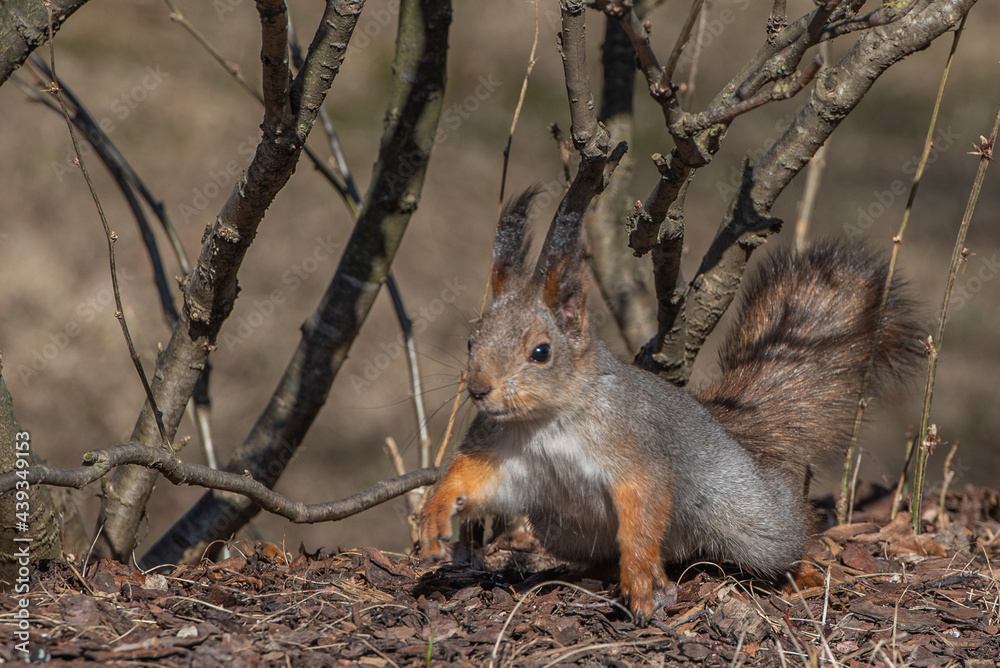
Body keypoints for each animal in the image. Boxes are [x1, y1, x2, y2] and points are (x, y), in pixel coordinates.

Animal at [419, 187, 921, 625]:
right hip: (563, 528)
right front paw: (434, 518)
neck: (544, 422)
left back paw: (801, 570)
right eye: (471, 340)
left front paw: (642, 580)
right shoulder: (501, 453)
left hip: (750, 520)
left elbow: (642, 513)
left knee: (784, 536)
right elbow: (472, 482)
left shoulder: (634, 449)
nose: (479, 389)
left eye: (540, 352)